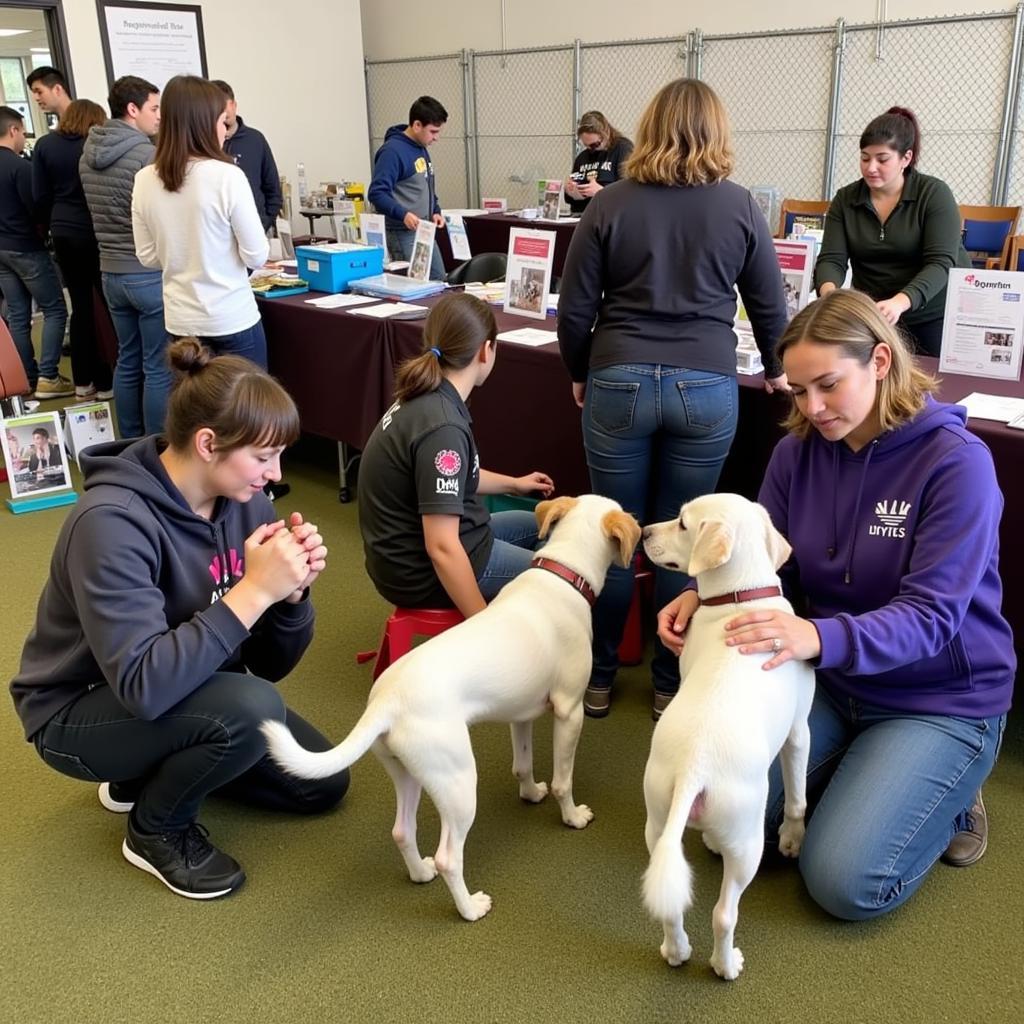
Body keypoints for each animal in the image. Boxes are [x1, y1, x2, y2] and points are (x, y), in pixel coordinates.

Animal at [260, 493, 634, 921]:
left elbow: (522, 765)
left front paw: (530, 794)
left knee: (402, 831)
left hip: (409, 774)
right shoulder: (570, 712)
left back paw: (420, 872)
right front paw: (572, 816)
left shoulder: (520, 715)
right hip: (458, 784)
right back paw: (470, 908)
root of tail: (386, 701)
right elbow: (563, 781)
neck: (563, 573)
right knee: (449, 859)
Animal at [638, 491, 815, 978]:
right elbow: (798, 798)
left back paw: (676, 951)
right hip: (748, 843)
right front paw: (793, 839)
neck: (742, 599)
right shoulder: (799, 732)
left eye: (681, 523)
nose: (643, 531)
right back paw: (725, 964)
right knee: (723, 913)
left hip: (657, 821)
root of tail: (693, 769)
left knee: (672, 904)